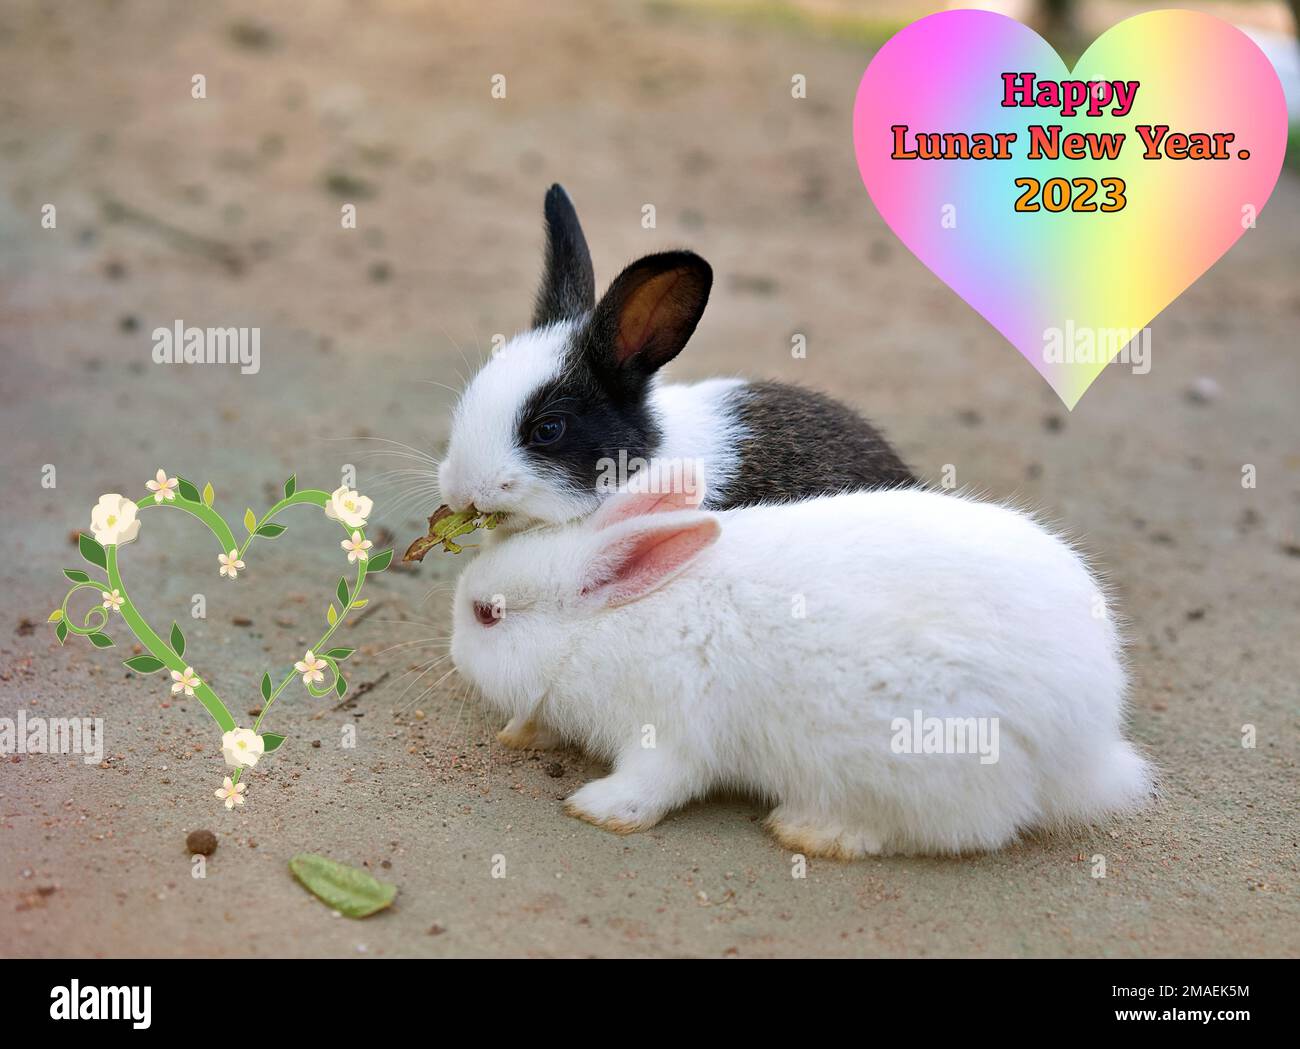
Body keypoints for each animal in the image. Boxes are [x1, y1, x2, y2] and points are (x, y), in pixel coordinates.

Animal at [452, 470, 1154, 857]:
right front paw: (520, 733)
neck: (604, 626)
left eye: (488, 614)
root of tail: (1086, 747)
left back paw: (811, 832)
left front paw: (596, 808)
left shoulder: (674, 732)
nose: (454, 654)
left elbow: (655, 783)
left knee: (962, 831)